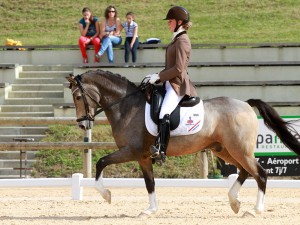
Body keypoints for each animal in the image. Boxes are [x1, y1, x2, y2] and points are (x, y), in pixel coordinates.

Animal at [66, 70, 300, 216]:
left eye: (77, 97)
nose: (83, 124)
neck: (126, 106)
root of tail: (245, 103)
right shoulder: (143, 157)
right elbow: (149, 183)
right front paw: (150, 210)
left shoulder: (131, 151)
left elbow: (101, 163)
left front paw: (106, 195)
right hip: (225, 150)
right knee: (244, 172)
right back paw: (234, 202)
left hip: (239, 150)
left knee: (260, 173)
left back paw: (254, 210)